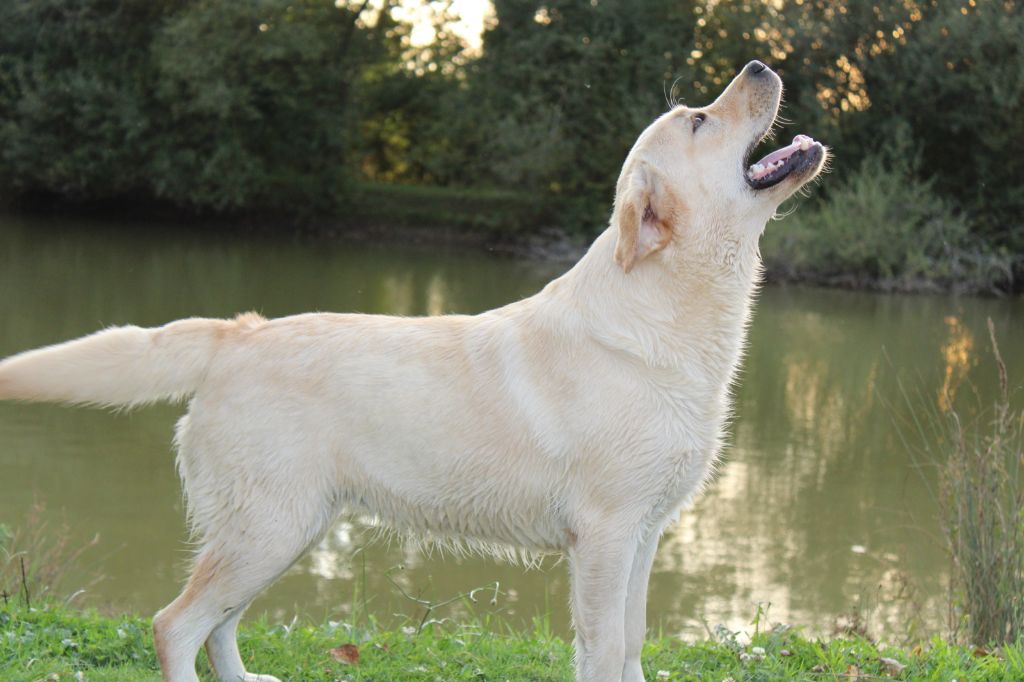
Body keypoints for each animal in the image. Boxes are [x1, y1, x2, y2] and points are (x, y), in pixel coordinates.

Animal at [0, 61, 823, 675]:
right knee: (175, 623)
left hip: (283, 528)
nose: (759, 65)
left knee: (218, 623)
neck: (670, 316)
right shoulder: (605, 535)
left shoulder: (644, 534)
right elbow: (603, 649)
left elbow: (632, 646)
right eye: (698, 121)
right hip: (269, 528)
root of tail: (238, 334)